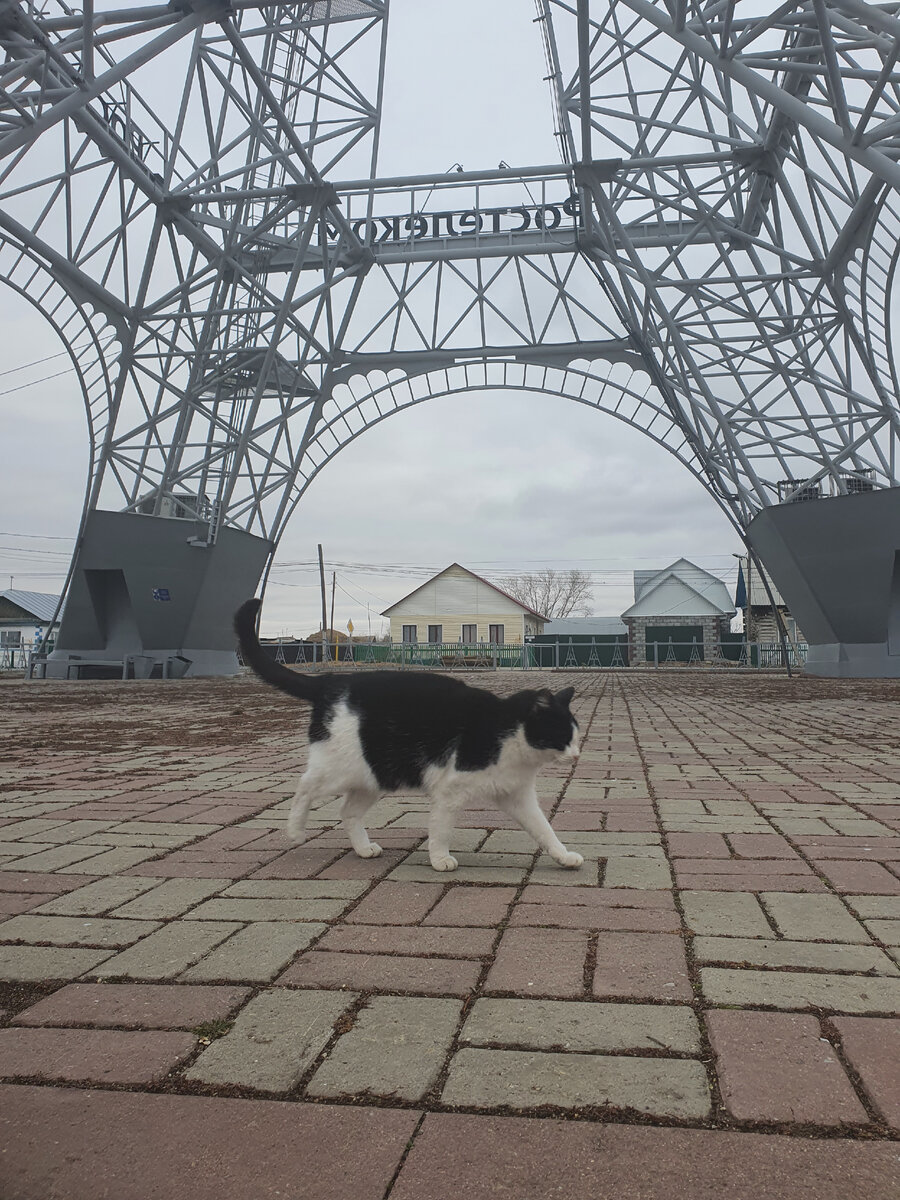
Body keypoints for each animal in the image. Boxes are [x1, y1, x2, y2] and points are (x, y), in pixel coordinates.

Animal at [234, 597, 585, 873]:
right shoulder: (449, 789)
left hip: (374, 774)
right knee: (304, 786)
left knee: (346, 811)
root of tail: (331, 680)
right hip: (337, 768)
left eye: (576, 737)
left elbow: (544, 829)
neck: (508, 734)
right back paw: (295, 831)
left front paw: (564, 856)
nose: (577, 755)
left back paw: (363, 849)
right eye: (563, 735)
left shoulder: (517, 796)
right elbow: (440, 829)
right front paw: (440, 859)